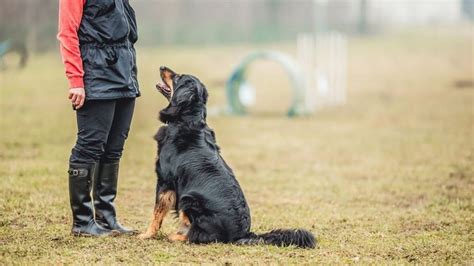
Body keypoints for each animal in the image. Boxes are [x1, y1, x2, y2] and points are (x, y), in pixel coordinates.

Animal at [137, 65, 314, 248]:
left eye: (178, 77)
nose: (162, 67)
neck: (187, 120)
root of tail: (242, 234)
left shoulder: (165, 181)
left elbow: (157, 213)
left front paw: (146, 234)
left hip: (188, 199)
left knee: (199, 235)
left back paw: (176, 236)